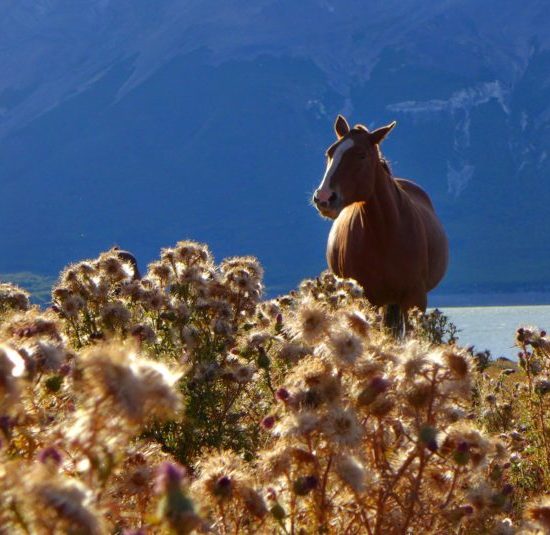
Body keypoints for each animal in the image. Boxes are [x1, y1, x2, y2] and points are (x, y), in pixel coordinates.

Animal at [314, 116, 448, 326]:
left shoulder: (415, 299)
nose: (324, 197)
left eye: (361, 155)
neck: (385, 234)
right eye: (330, 153)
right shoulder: (368, 298)